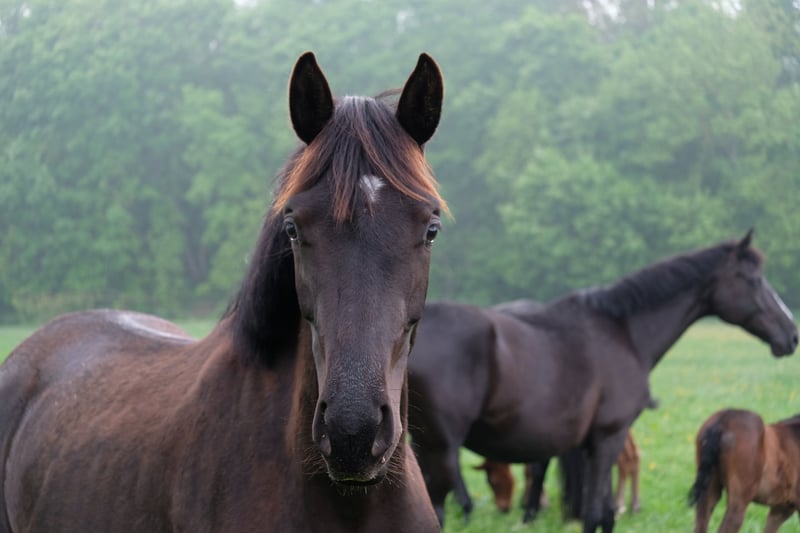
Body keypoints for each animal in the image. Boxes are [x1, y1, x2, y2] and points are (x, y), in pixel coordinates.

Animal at [408, 231, 798, 532]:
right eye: (753, 280)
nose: (791, 334)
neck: (624, 332)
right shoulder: (610, 437)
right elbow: (596, 514)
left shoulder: (595, 444)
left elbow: (606, 513)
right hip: (440, 451)